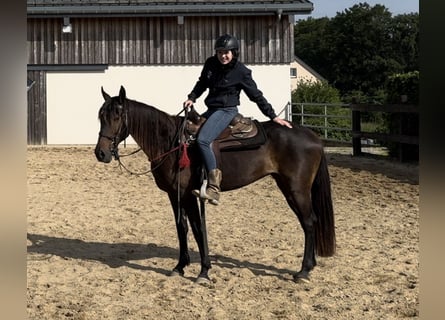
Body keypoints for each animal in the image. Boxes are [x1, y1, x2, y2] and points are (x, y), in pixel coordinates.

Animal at [95, 85, 334, 282]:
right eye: (101, 116)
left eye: (117, 116)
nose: (101, 153)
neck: (171, 142)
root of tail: (312, 136)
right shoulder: (174, 194)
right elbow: (181, 227)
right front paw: (180, 266)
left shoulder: (189, 195)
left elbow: (198, 228)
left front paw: (204, 271)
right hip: (287, 187)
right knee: (307, 221)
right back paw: (310, 266)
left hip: (297, 189)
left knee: (309, 222)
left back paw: (303, 271)